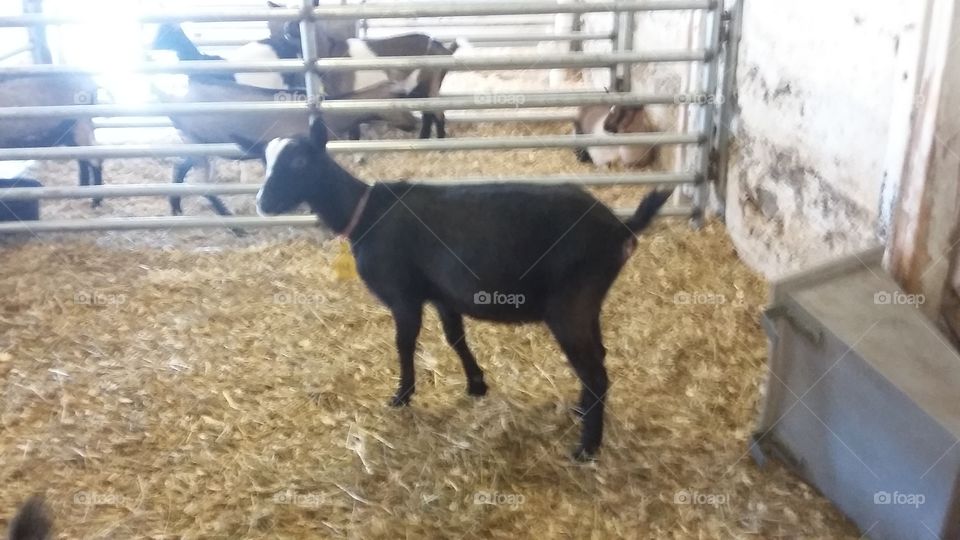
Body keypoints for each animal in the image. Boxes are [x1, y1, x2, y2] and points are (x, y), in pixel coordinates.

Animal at [0, 75, 103, 207]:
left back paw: (96, 200)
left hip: (80, 124)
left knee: (95, 158)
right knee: (83, 158)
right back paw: (82, 189)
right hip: (70, 133)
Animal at [153, 78, 415, 216]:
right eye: (403, 100)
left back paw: (176, 208)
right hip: (198, 143)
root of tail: (173, 100)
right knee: (201, 183)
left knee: (179, 169)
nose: (415, 123)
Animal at [240, 117, 673, 460]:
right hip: (588, 303)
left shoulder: (404, 295)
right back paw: (582, 413)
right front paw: (476, 384)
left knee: (594, 371)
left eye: (300, 161)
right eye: (265, 161)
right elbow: (455, 338)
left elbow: (404, 343)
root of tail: (621, 227)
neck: (364, 213)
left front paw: (401, 396)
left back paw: (587, 447)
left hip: (571, 302)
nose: (262, 203)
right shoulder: (442, 295)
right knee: (597, 358)